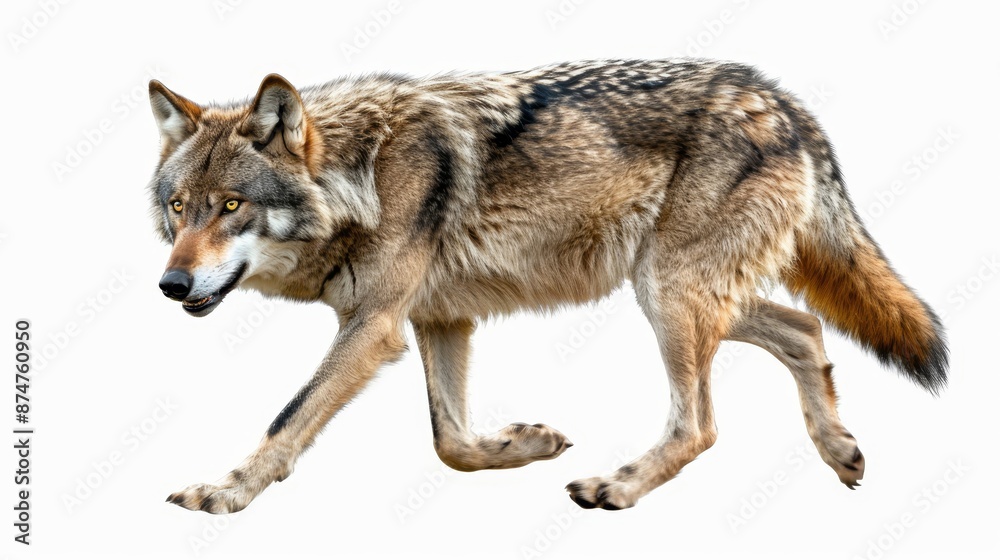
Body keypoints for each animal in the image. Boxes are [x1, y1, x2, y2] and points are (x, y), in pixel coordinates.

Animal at [148, 59, 947, 513]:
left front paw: (225, 492)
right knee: (805, 329)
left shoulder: (373, 326)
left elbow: (287, 419)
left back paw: (617, 488)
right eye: (180, 208)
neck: (362, 173)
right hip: (683, 292)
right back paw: (839, 450)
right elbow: (451, 442)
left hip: (667, 295)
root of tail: (782, 99)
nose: (170, 284)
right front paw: (526, 444)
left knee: (700, 424)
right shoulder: (438, 320)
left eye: (232, 206)